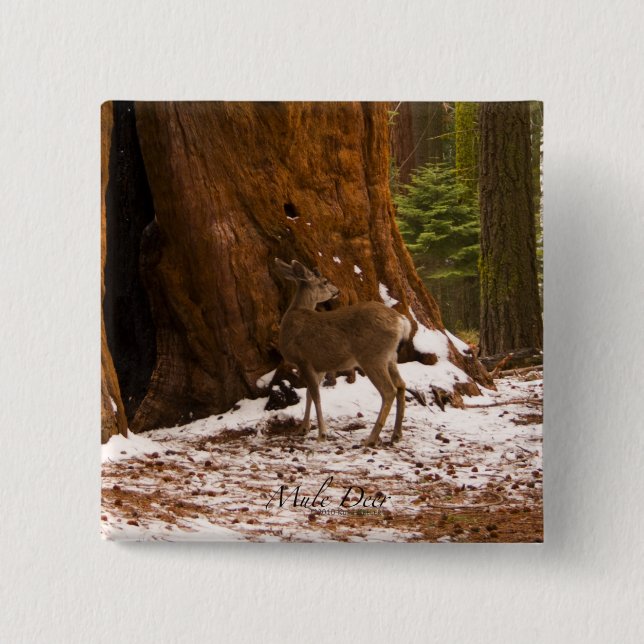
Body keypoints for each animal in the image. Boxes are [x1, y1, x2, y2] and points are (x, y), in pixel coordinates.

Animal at [274, 258, 412, 446]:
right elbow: (310, 394)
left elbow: (316, 395)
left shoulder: (304, 360)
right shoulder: (318, 365)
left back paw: (371, 438)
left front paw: (322, 434)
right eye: (325, 282)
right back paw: (396, 434)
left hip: (372, 357)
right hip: (390, 357)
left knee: (388, 390)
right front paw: (303, 428)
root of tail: (401, 321)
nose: (337, 290)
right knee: (401, 385)